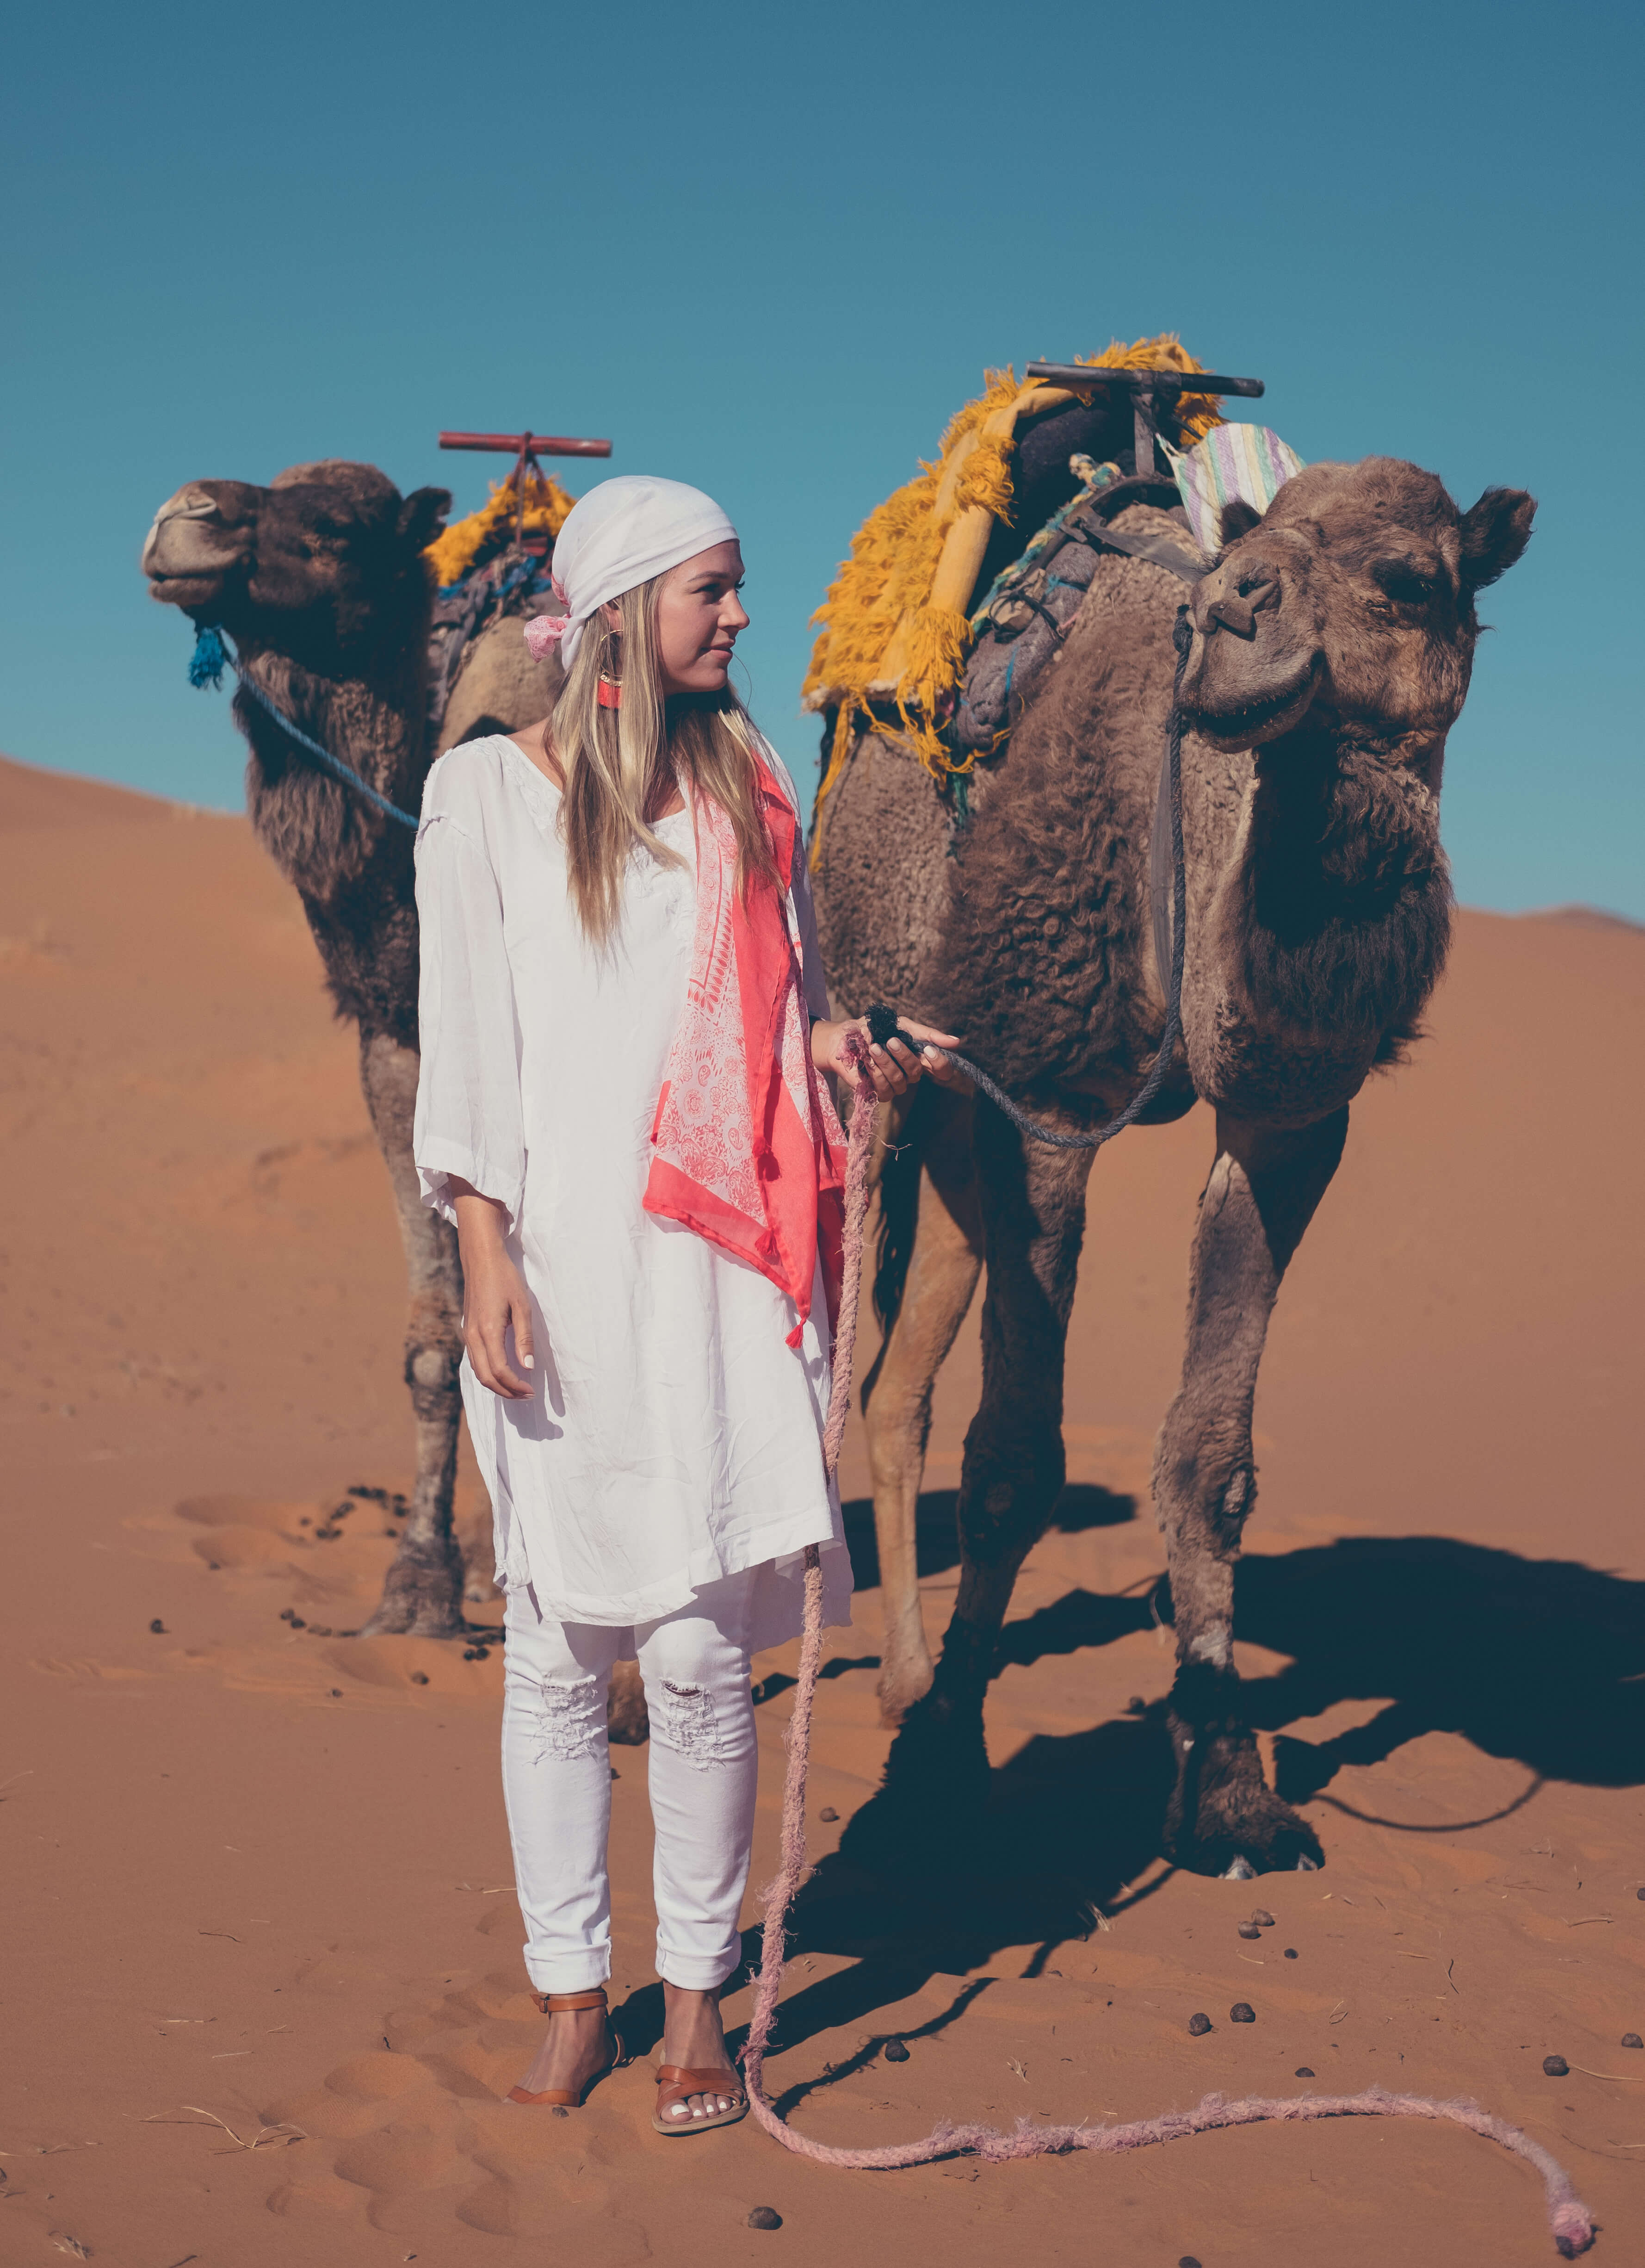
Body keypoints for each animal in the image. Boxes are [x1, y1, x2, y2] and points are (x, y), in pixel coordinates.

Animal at [816, 428, 1534, 1878]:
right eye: (1254, 539)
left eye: (1407, 577)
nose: (1233, 617)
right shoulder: (1051, 1090)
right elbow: (1014, 1457)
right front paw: (944, 1770)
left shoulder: (1288, 1116)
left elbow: (1209, 1456)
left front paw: (1229, 1786)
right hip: (865, 1059)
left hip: (949, 1104)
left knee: (895, 1382)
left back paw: (899, 1679)